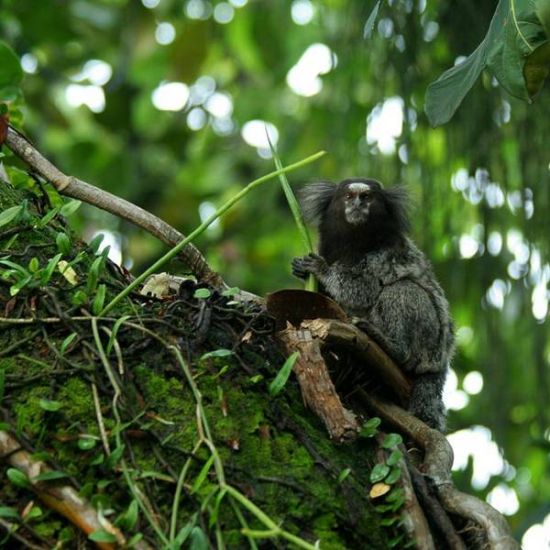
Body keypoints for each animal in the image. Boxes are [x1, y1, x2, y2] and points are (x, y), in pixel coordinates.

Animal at [292, 179, 454, 434]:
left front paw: (322, 269)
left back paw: (392, 346)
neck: (354, 241)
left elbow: (364, 290)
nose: (358, 204)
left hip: (430, 343)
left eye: (367, 197)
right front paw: (301, 271)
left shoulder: (384, 255)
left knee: (402, 289)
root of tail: (440, 364)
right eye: (349, 196)